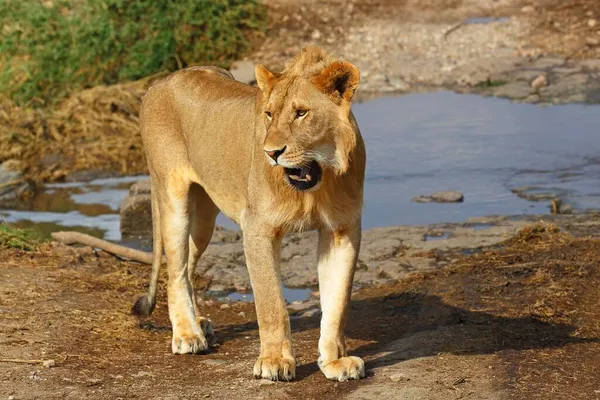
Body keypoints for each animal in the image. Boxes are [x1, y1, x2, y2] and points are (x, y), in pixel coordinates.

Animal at [132, 46, 366, 382]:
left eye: (301, 113)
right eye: (268, 114)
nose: (271, 153)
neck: (317, 185)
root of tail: (158, 83)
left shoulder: (342, 230)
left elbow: (337, 303)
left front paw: (336, 362)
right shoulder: (258, 228)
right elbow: (272, 303)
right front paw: (274, 362)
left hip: (204, 218)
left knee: (188, 265)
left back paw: (198, 323)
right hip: (172, 196)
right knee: (175, 269)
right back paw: (187, 334)